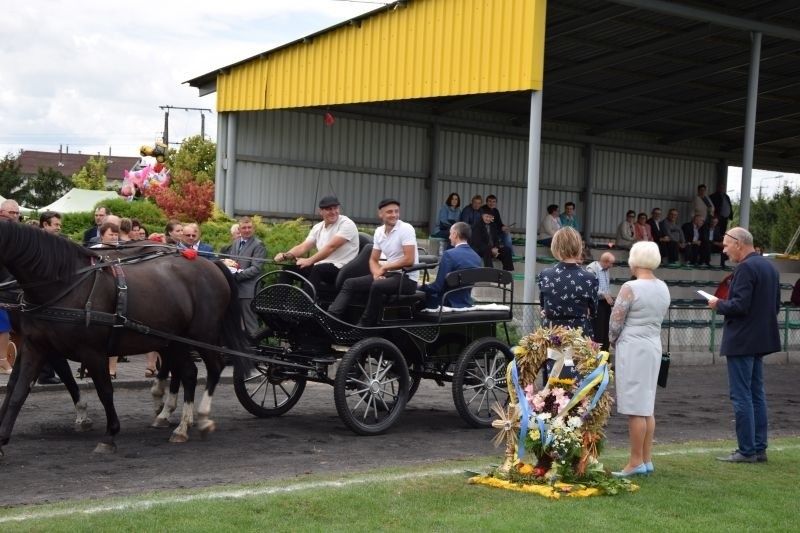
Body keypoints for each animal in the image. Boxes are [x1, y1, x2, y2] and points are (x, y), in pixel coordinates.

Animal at [0, 220, 247, 454]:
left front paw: (108, 435)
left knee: (213, 367)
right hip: (175, 340)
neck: (66, 285)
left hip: (202, 335)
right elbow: (17, 391)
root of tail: (210, 264)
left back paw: (199, 417)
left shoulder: (91, 352)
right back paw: (177, 422)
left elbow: (104, 391)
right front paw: (2, 439)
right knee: (189, 373)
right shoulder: (36, 347)